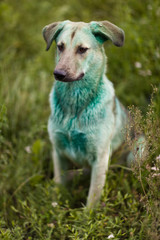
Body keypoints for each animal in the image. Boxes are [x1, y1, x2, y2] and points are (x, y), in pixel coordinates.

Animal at [42, 20, 129, 208]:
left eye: (82, 49)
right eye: (60, 46)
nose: (58, 74)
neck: (74, 105)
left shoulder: (100, 158)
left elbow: (92, 198)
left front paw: (87, 215)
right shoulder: (58, 152)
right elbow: (58, 185)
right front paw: (56, 207)